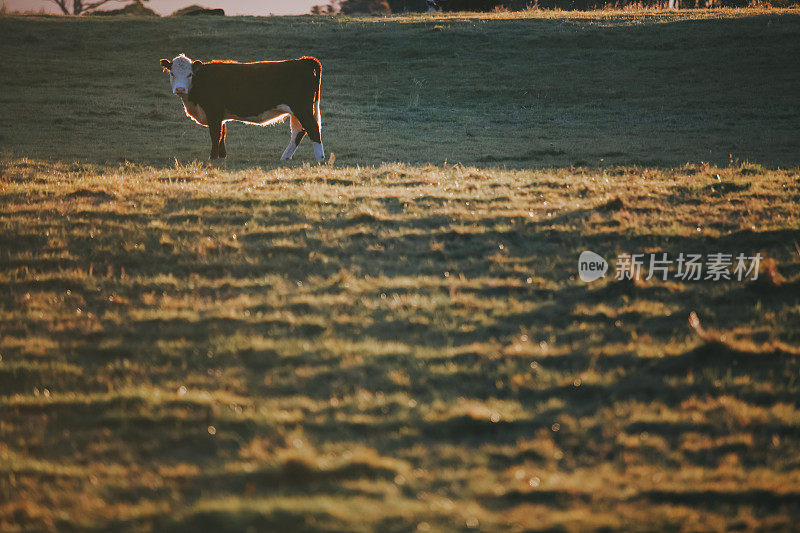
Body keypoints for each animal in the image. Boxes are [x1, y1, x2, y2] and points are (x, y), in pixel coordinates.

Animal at [158, 54, 324, 163]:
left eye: (190, 74)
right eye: (172, 73)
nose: (180, 89)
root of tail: (302, 60)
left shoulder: (213, 111)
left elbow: (215, 133)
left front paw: (212, 157)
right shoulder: (221, 115)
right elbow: (222, 133)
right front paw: (222, 156)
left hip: (302, 108)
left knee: (313, 128)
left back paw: (320, 158)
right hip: (297, 110)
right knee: (299, 131)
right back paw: (285, 157)